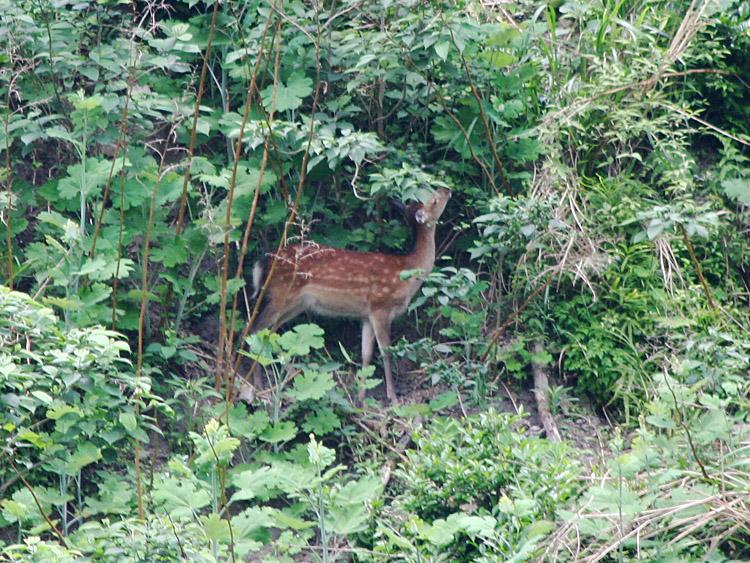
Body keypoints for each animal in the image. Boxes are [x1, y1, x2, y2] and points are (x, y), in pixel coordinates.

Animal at [247, 187, 452, 404]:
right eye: (434, 199)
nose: (447, 190)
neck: (407, 273)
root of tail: (264, 261)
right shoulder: (381, 307)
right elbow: (386, 353)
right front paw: (393, 398)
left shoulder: (366, 315)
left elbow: (366, 354)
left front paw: (360, 398)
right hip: (281, 294)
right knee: (254, 329)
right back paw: (260, 386)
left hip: (296, 304)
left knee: (270, 333)